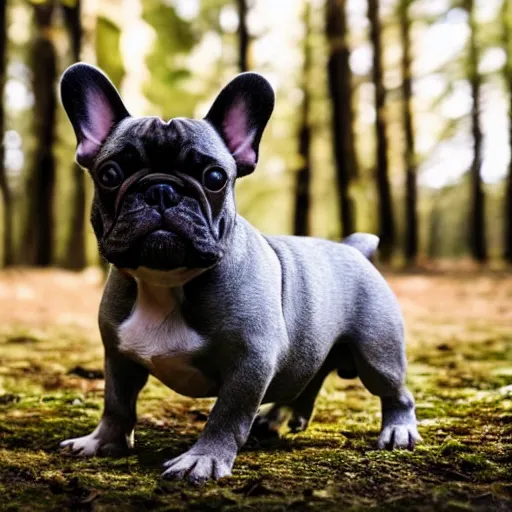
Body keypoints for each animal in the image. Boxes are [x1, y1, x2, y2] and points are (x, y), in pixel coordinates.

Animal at [59, 64, 420, 484]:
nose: (162, 189)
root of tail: (353, 249)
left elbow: (227, 414)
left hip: (377, 352)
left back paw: (397, 430)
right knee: (309, 379)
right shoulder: (118, 355)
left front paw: (203, 458)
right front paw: (102, 442)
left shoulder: (250, 361)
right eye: (110, 174)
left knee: (394, 390)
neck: (168, 280)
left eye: (215, 177)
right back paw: (279, 418)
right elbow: (116, 402)